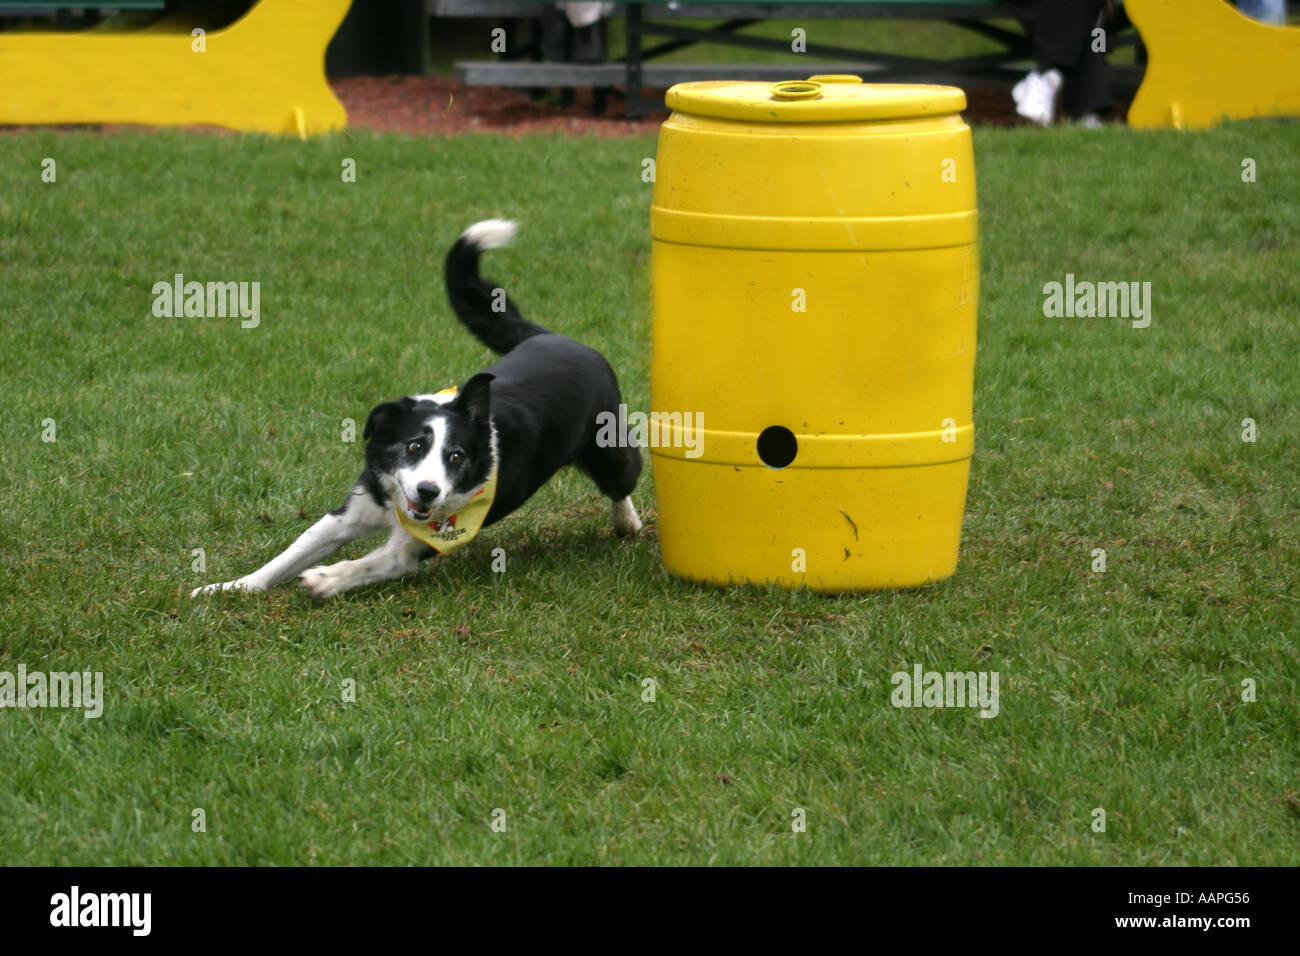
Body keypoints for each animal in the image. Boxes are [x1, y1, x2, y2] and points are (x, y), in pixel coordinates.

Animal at [189, 221, 642, 600]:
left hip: (610, 451)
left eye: (456, 457)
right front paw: (230, 587)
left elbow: (368, 561)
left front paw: (326, 578)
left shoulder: (418, 543)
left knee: (622, 483)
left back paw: (627, 523)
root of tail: (558, 338)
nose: (428, 491)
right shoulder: (351, 510)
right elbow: (289, 554)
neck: (400, 507)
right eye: (414, 446)